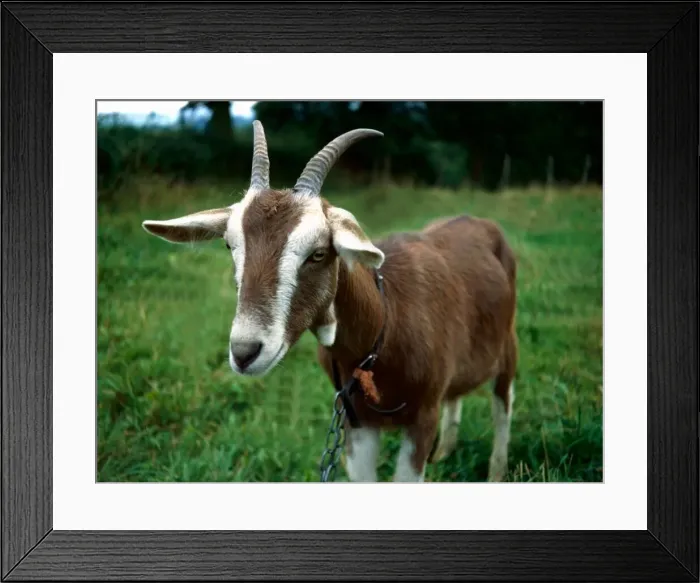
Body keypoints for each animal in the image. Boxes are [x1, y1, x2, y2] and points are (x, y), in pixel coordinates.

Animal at [142, 121, 518, 482]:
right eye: (229, 245)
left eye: (319, 253)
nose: (245, 352)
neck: (385, 326)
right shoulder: (356, 423)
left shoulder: (422, 418)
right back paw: (445, 453)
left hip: (507, 345)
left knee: (503, 404)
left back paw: (496, 473)